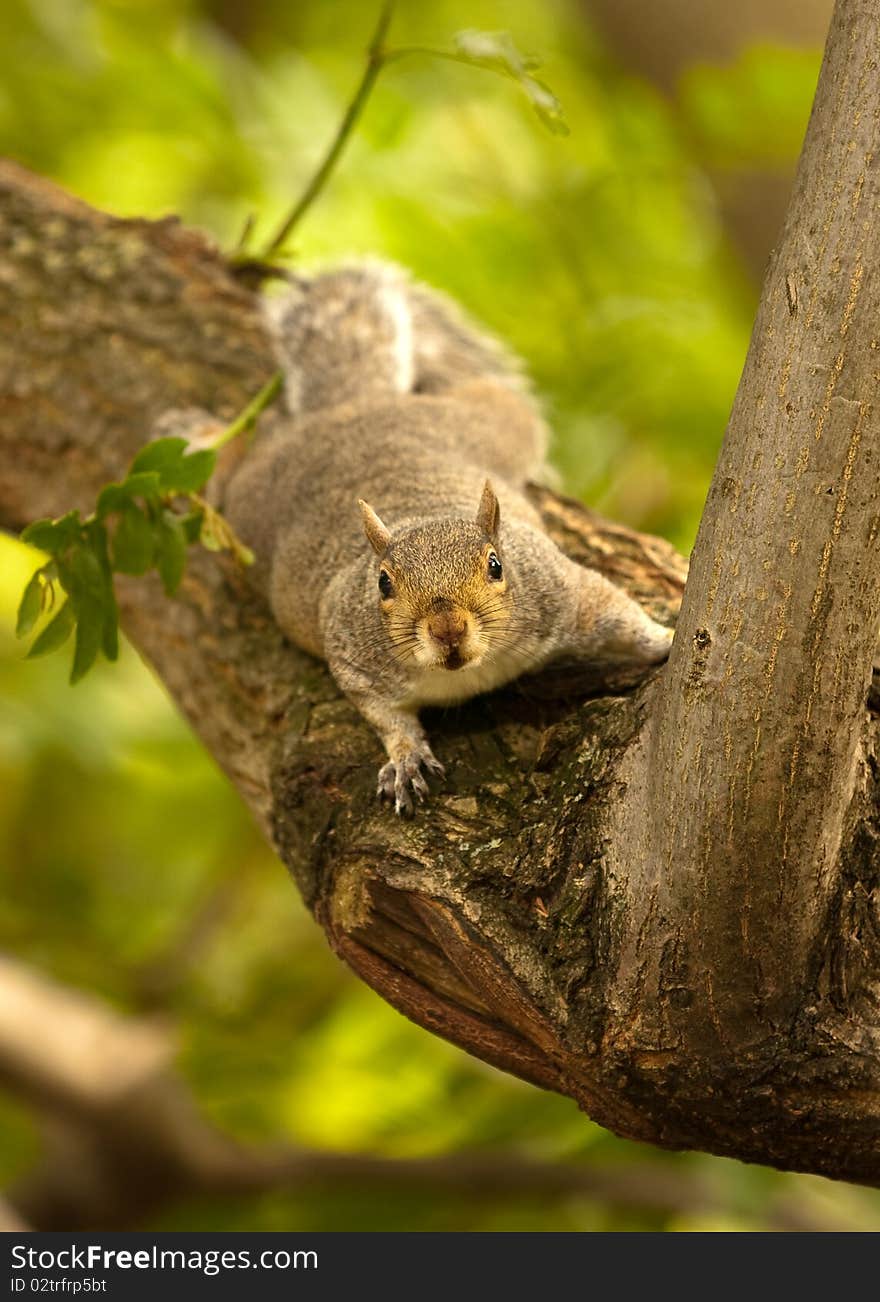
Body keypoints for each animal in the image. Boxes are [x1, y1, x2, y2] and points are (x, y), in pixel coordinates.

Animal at [221, 264, 671, 812]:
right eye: (383, 584)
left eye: (496, 565)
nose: (447, 630)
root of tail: (358, 405)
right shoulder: (352, 654)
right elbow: (384, 715)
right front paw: (405, 757)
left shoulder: (561, 591)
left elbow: (616, 612)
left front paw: (666, 639)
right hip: (247, 507)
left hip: (493, 421)